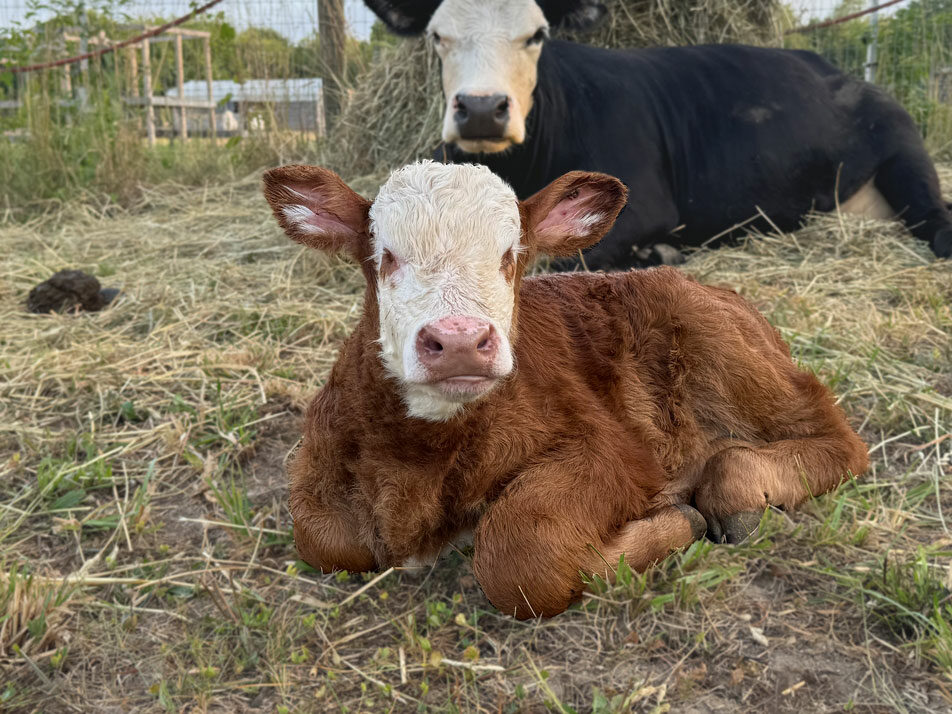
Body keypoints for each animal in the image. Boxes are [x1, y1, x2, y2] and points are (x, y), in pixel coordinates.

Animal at [263, 160, 870, 619]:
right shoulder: (320, 461)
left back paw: (735, 492)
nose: (459, 342)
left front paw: (669, 524)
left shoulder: (611, 451)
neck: (422, 459)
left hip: (724, 347)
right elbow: (322, 538)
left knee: (835, 439)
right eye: (385, 258)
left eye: (511, 259)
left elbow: (519, 557)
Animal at [362, 0, 952, 269]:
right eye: (437, 36)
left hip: (905, 151)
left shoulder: (640, 204)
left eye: (537, 35)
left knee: (936, 217)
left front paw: (657, 254)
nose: (483, 109)